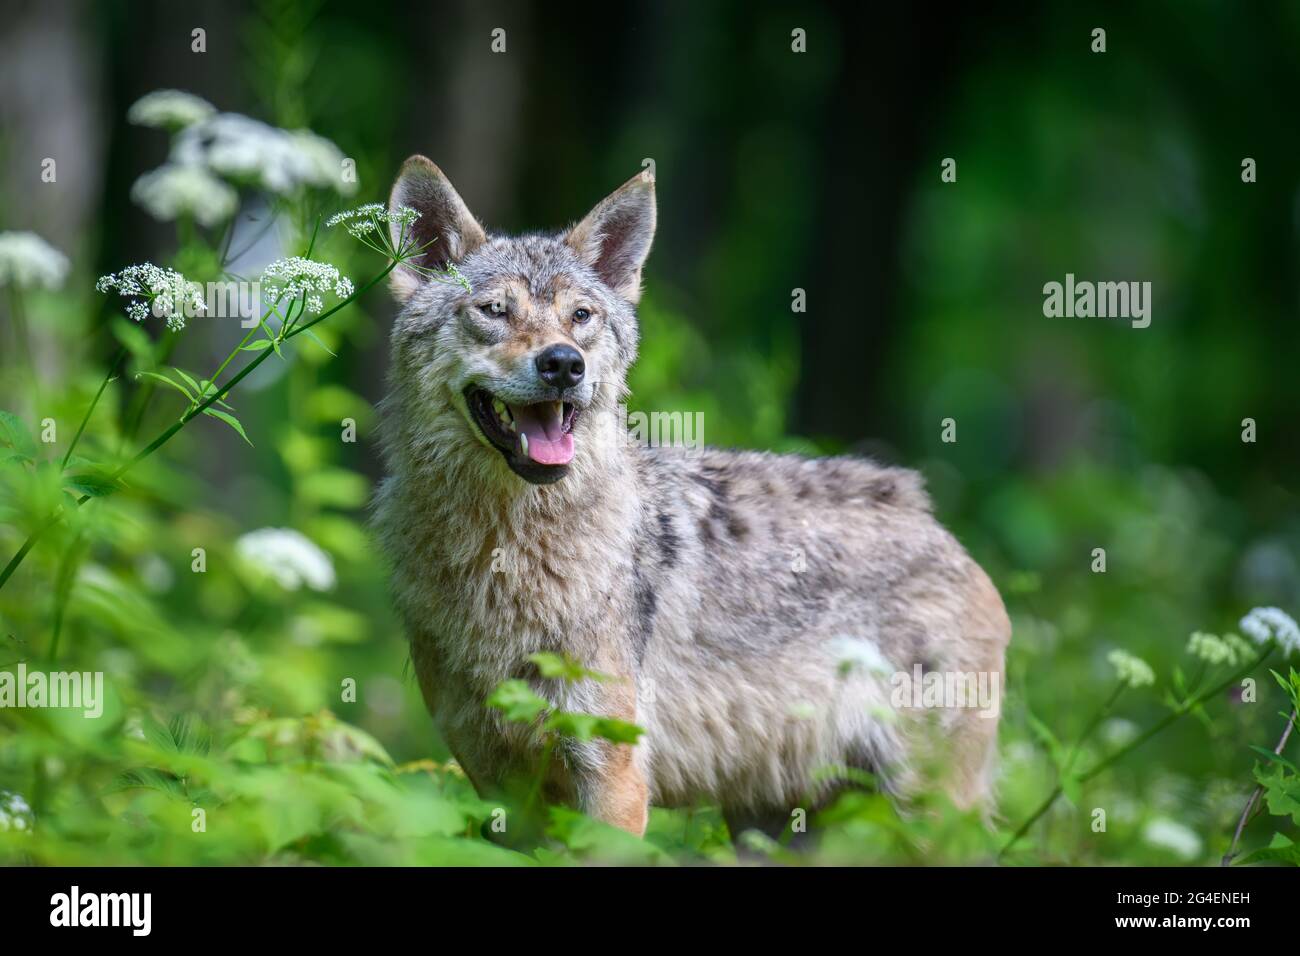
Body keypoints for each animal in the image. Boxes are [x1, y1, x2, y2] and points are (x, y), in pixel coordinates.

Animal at [374, 156, 1011, 841]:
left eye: (581, 317)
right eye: (493, 309)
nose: (563, 364)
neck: (506, 550)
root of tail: (937, 526)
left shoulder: (613, 776)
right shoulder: (498, 789)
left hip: (924, 812)